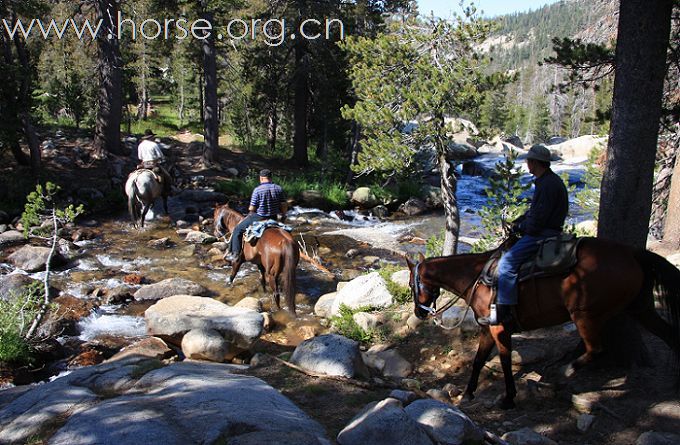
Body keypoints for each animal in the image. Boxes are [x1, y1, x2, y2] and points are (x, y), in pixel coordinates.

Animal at [410, 236, 680, 410]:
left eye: (412, 284)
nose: (419, 313)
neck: (475, 276)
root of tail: (633, 253)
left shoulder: (499, 327)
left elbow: (505, 361)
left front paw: (508, 398)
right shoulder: (487, 327)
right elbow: (478, 360)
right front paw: (468, 394)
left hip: (584, 315)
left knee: (596, 349)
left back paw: (565, 371)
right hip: (641, 309)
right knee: (670, 336)